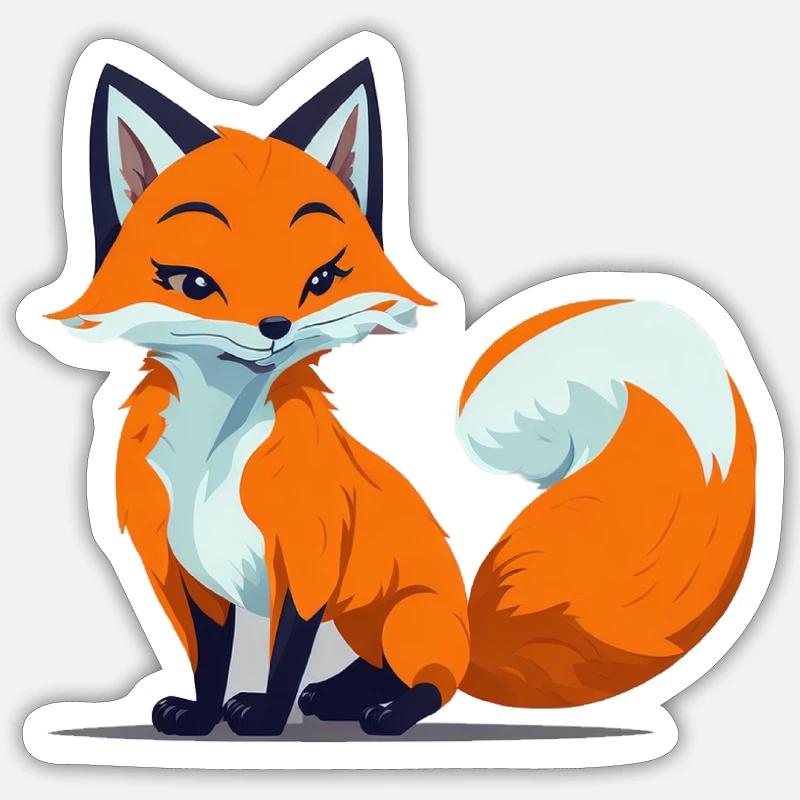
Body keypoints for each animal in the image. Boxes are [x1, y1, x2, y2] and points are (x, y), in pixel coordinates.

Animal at [39, 55, 755, 739]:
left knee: (431, 687)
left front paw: (264, 719)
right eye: (193, 283)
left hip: (405, 620)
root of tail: (467, 631)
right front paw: (201, 714)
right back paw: (337, 699)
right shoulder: (189, 577)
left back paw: (382, 712)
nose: (275, 328)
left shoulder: (307, 564)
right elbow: (212, 662)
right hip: (367, 628)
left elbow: (282, 658)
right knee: (373, 673)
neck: (211, 458)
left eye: (321, 279)